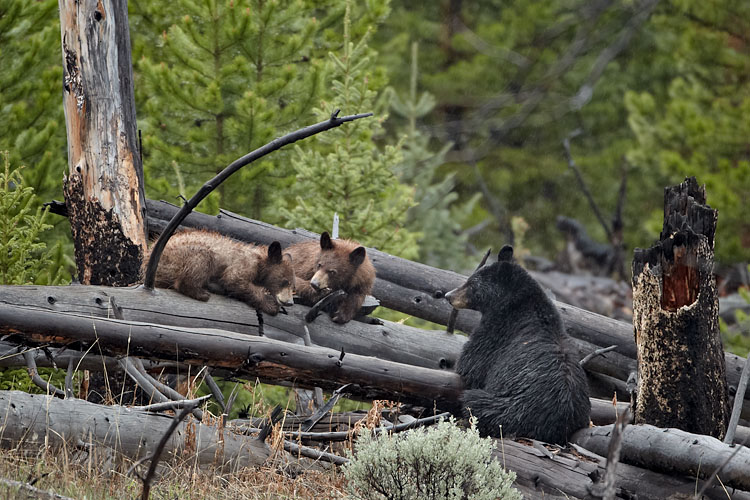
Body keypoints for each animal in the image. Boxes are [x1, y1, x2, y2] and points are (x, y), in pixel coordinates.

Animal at [446, 244, 592, 444]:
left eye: (471, 282)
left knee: (474, 402)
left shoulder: (497, 333)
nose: (448, 295)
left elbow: (471, 363)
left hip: (505, 408)